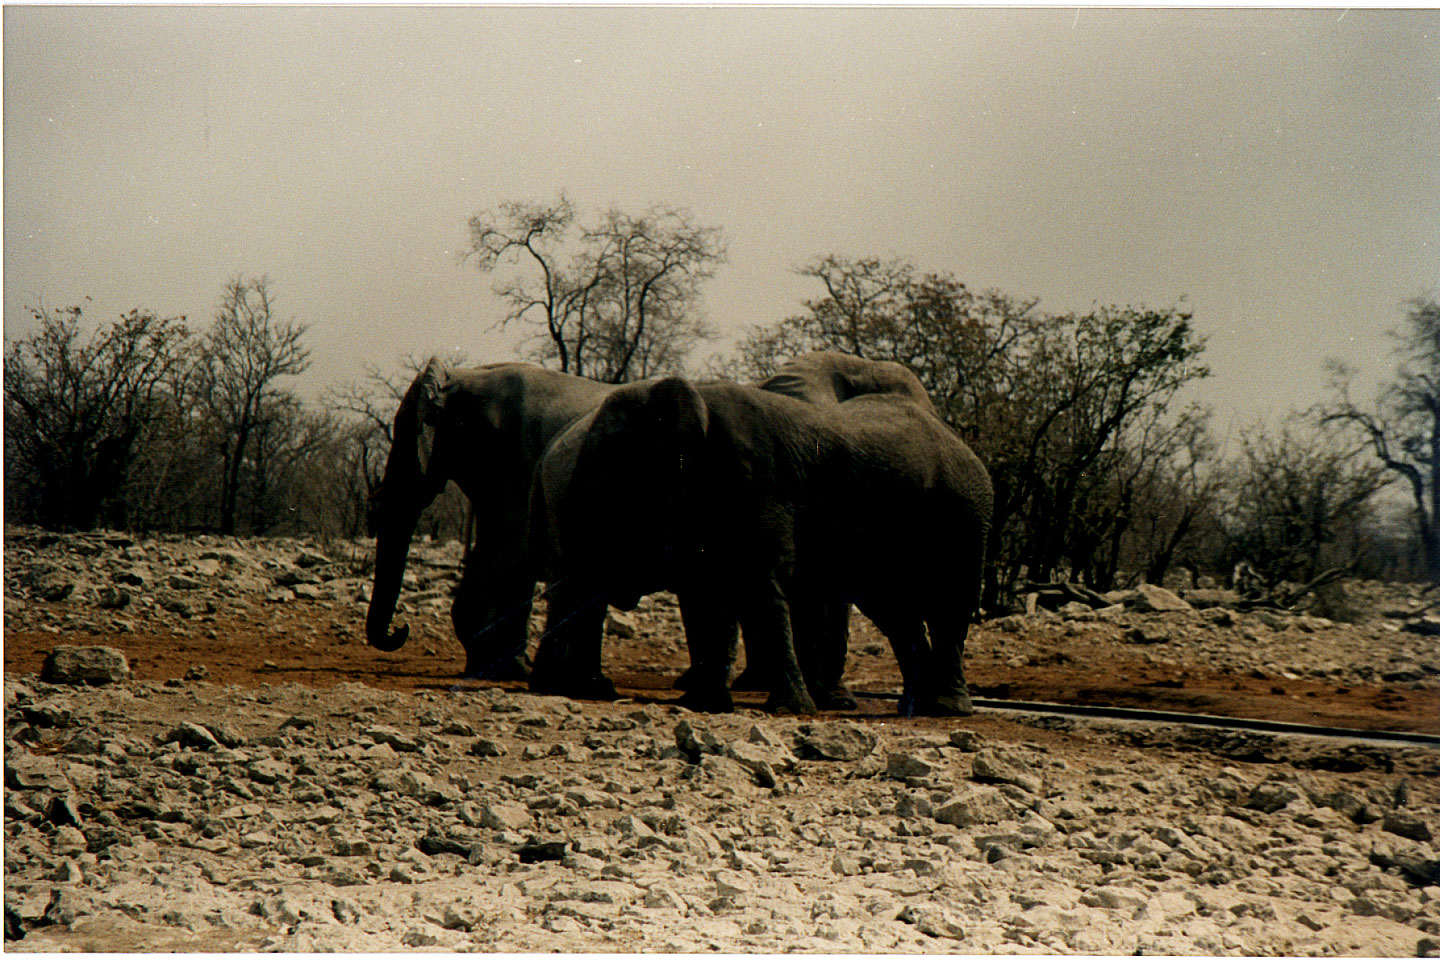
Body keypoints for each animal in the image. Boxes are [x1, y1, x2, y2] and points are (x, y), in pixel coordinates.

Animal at [535, 379, 996, 716]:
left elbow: (756, 587)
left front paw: (790, 710)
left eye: (604, 478)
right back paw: (913, 706)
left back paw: (948, 709)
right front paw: (704, 706)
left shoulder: (757, 485)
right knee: (895, 613)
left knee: (948, 605)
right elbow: (707, 595)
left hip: (965, 509)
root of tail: (959, 439)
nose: (542, 687)